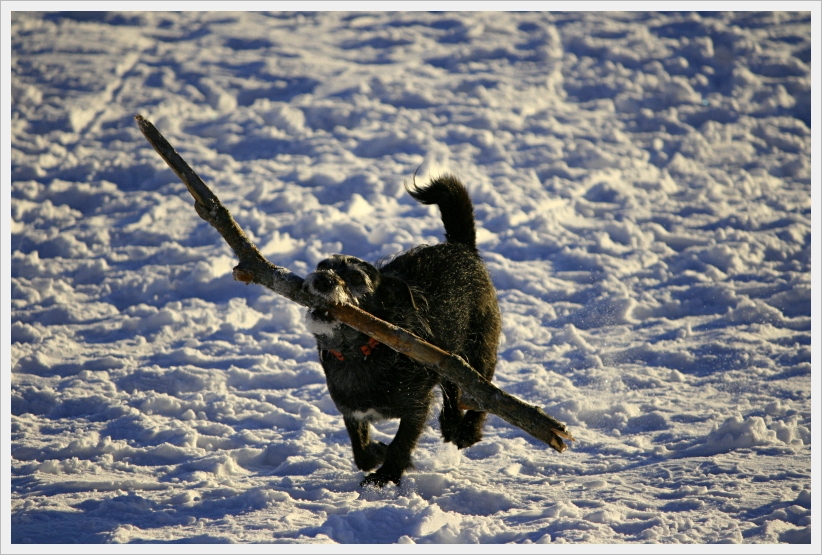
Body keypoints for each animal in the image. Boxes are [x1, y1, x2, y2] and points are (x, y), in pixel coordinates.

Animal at [304, 174, 502, 486]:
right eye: (322, 265)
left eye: (357, 279)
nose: (322, 279)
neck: (361, 352)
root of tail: (461, 247)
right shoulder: (351, 411)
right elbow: (360, 450)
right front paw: (377, 452)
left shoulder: (415, 408)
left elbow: (401, 443)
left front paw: (385, 476)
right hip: (448, 356)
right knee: (452, 387)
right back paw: (450, 424)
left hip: (479, 349)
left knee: (481, 391)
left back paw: (466, 431)